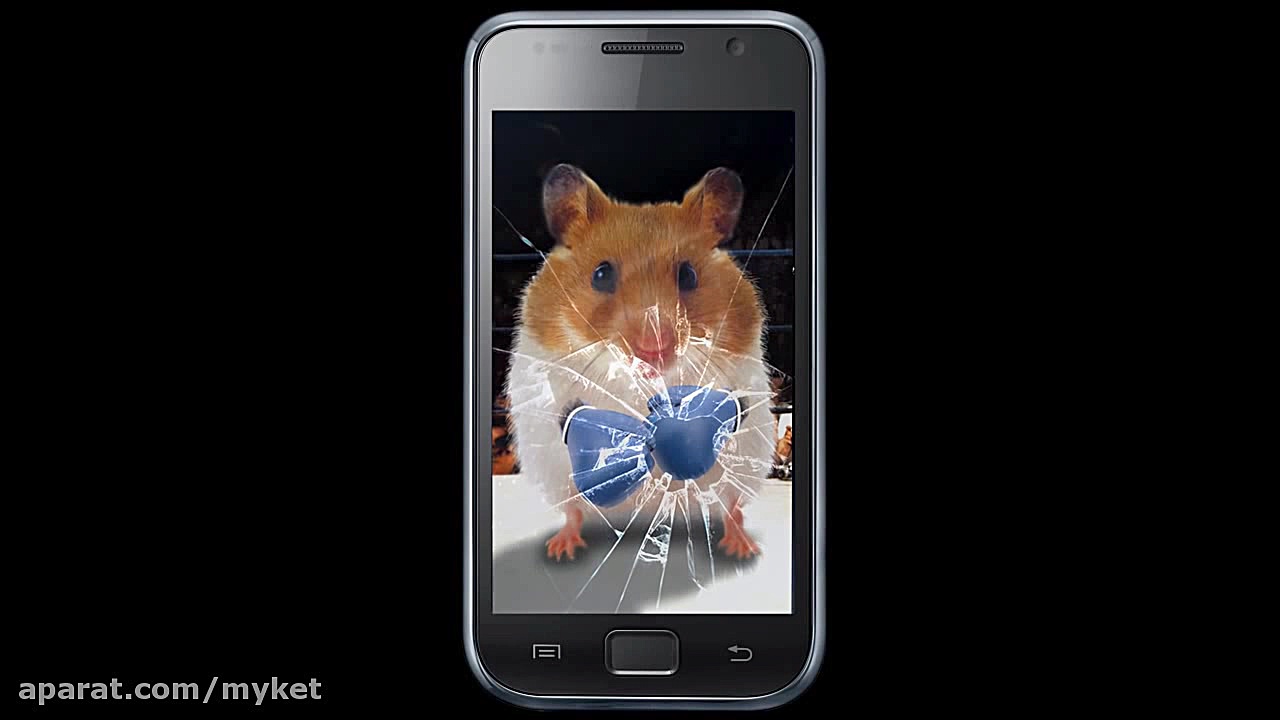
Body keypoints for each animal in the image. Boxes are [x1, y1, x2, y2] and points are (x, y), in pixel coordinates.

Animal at [504, 164, 776, 562]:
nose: (654, 350)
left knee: (731, 505)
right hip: (554, 473)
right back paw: (562, 549)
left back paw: (741, 548)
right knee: (573, 511)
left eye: (688, 275)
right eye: (601, 274)